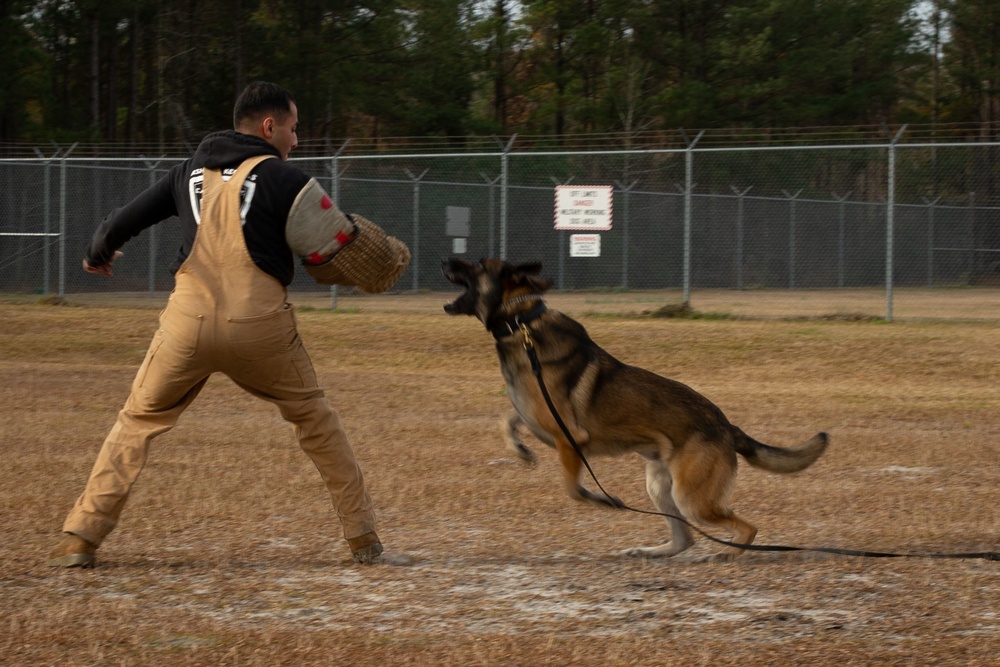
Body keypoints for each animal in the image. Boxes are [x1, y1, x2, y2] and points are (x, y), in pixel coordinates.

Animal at [444, 258, 828, 560]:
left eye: (477, 266)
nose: (447, 259)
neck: (522, 323)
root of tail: (726, 425)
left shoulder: (570, 439)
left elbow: (572, 489)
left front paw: (602, 499)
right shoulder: (536, 415)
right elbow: (507, 419)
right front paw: (520, 449)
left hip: (691, 498)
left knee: (746, 528)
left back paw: (727, 554)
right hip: (660, 486)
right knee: (684, 538)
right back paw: (650, 551)